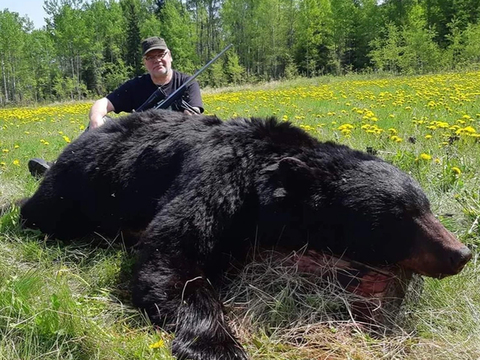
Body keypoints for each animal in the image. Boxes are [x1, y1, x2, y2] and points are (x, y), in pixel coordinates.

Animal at [20, 109, 470, 360]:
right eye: (399, 218)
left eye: (426, 207)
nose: (461, 253)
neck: (261, 173)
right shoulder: (215, 181)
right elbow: (172, 257)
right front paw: (219, 346)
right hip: (75, 189)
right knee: (40, 212)